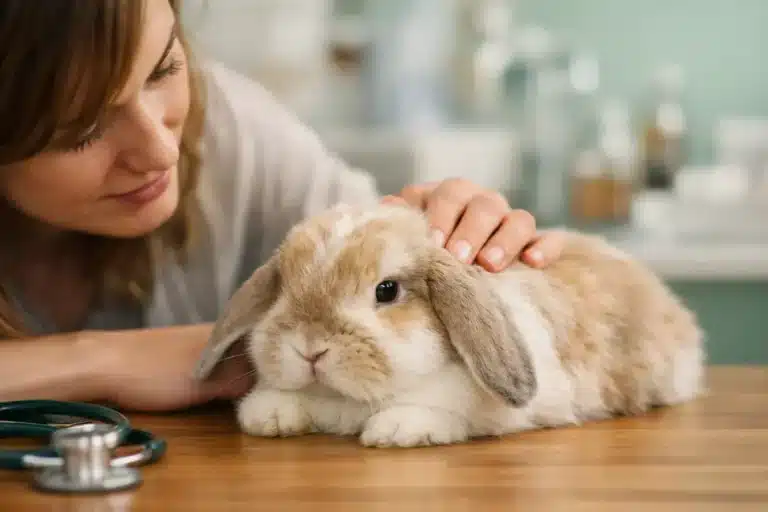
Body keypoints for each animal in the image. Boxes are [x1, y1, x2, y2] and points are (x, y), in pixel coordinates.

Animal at [194, 201, 705, 448]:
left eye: (386, 290)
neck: (344, 403)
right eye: (283, 286)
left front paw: (396, 430)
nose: (310, 348)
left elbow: (442, 413)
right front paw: (269, 415)